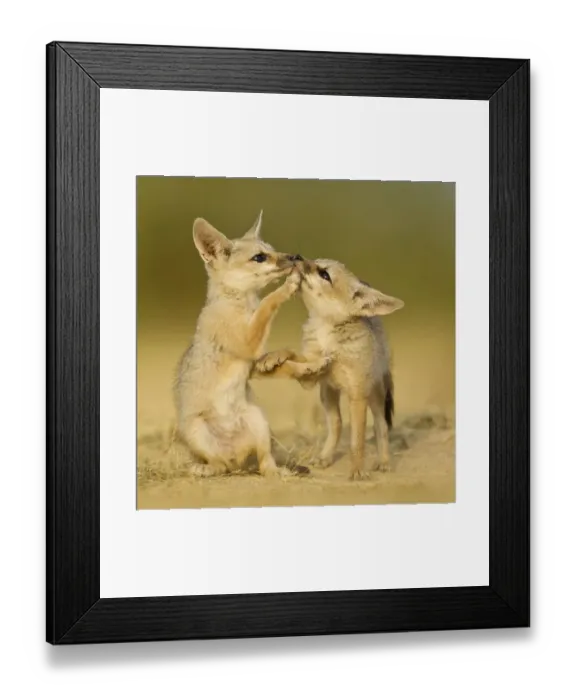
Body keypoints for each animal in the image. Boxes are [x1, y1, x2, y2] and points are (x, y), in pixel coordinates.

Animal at [174, 212, 305, 478]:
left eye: (272, 250)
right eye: (259, 257)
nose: (295, 257)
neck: (240, 304)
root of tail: (236, 459)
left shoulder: (251, 355)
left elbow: (268, 349)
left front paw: (276, 358)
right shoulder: (248, 342)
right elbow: (267, 303)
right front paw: (288, 285)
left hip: (260, 422)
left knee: (265, 464)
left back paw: (279, 472)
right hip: (197, 430)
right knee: (220, 465)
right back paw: (204, 468)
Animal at [255, 258, 404, 480]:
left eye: (324, 274)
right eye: (312, 262)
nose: (297, 257)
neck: (325, 330)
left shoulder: (357, 395)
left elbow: (357, 441)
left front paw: (357, 470)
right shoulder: (310, 377)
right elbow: (293, 353)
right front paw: (273, 357)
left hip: (374, 396)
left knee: (381, 426)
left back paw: (384, 461)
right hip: (327, 394)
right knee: (337, 424)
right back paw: (325, 457)